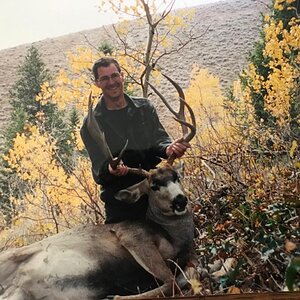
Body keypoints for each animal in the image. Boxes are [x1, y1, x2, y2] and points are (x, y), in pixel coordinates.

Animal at [0, 75, 197, 300]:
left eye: (177, 177)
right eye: (154, 186)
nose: (180, 200)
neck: (173, 237)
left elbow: (185, 277)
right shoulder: (133, 236)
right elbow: (173, 281)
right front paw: (117, 296)